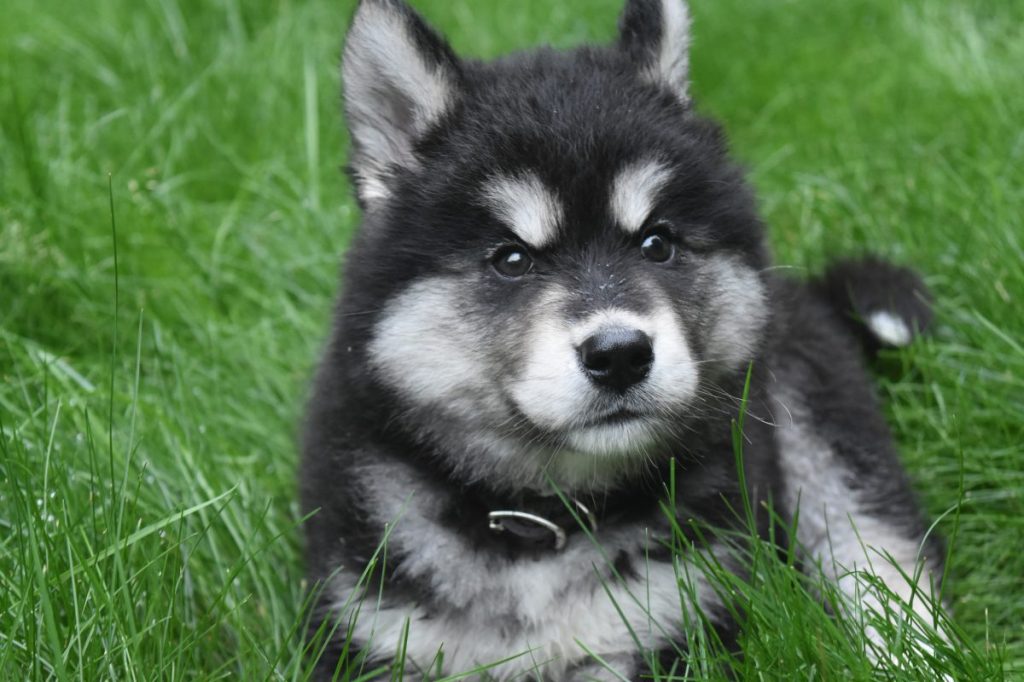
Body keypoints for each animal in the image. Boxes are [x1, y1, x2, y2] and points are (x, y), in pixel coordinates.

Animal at [299, 0, 946, 675]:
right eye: (511, 259)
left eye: (657, 243)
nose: (620, 355)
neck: (543, 522)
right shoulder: (376, 633)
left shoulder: (671, 622)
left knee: (882, 567)